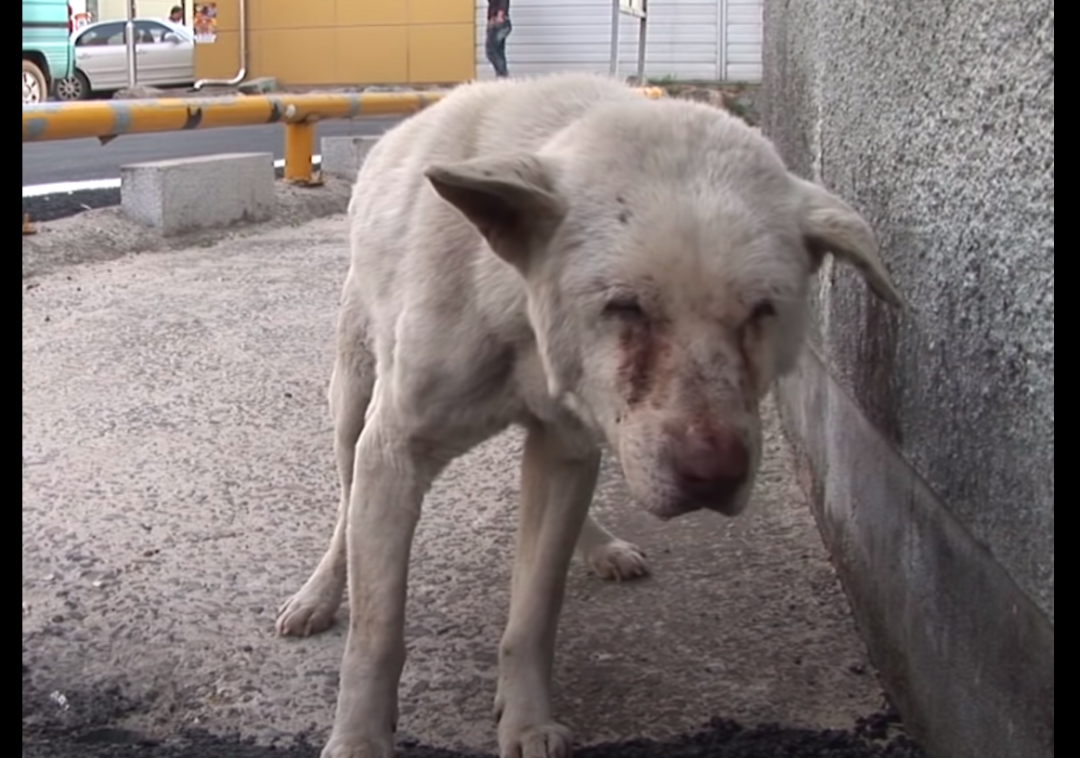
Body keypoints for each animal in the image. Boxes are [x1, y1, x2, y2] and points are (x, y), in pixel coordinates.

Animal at [272, 72, 902, 758]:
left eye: (763, 310)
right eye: (623, 306)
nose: (713, 477)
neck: (514, 302)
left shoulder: (566, 446)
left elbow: (535, 609)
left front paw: (526, 720)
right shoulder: (395, 450)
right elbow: (377, 627)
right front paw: (360, 736)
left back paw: (598, 543)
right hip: (352, 401)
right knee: (346, 507)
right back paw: (320, 592)